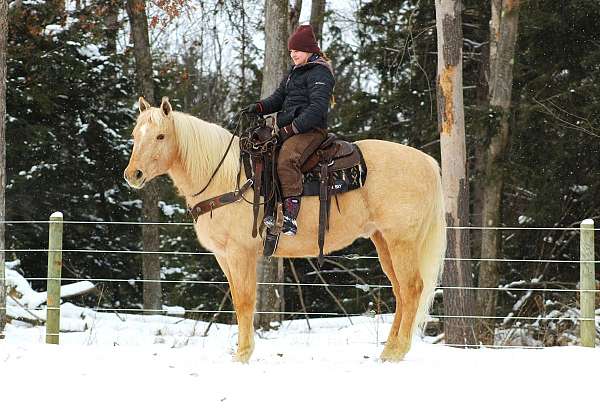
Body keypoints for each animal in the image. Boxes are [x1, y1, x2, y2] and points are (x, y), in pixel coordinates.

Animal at [124, 96, 446, 364]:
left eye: (161, 136)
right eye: (135, 136)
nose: (133, 175)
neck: (229, 179)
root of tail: (427, 162)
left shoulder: (241, 254)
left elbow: (245, 301)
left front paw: (243, 355)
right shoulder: (224, 257)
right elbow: (237, 301)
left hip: (402, 241)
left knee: (412, 288)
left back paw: (398, 352)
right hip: (383, 241)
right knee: (400, 291)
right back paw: (388, 351)